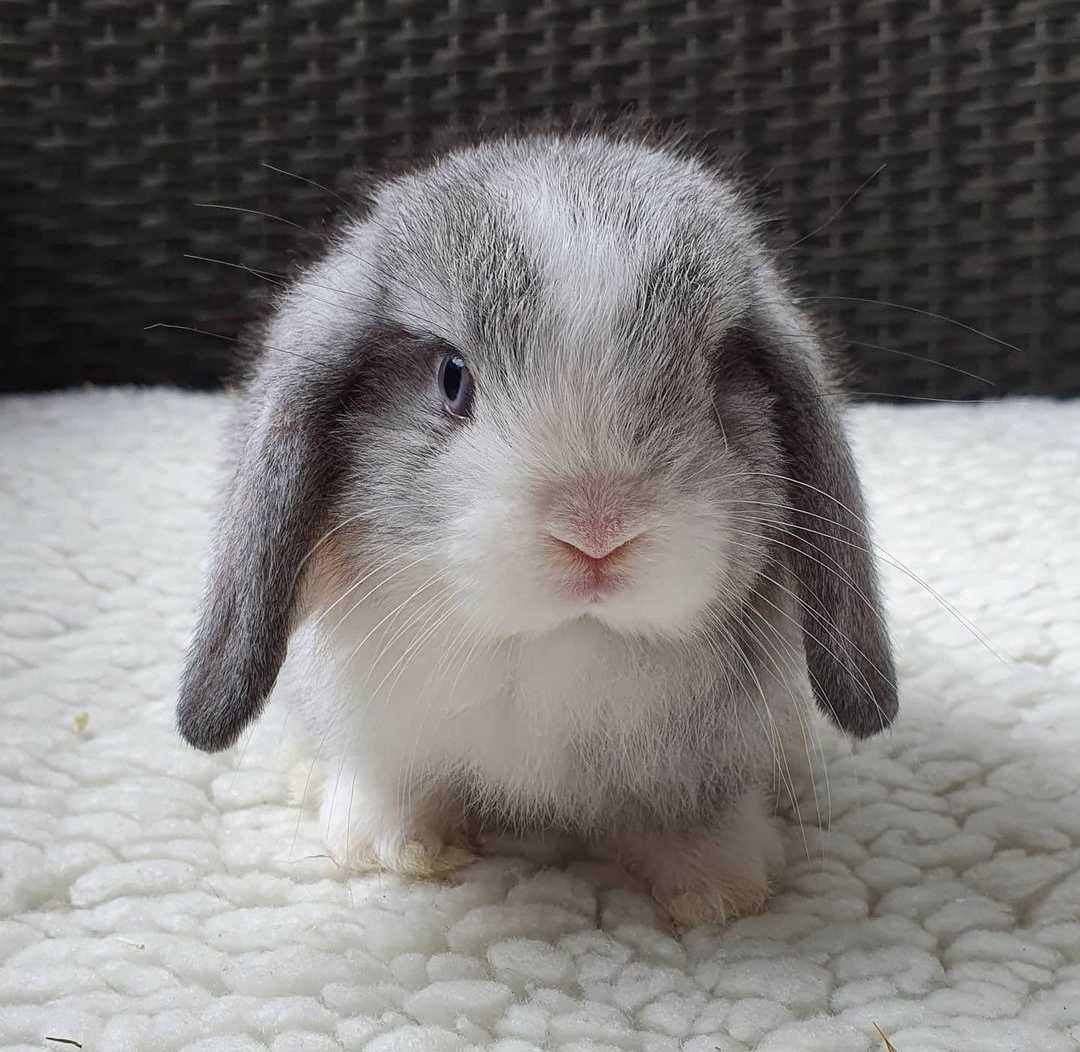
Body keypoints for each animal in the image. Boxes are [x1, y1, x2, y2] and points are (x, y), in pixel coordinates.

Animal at [179, 129, 894, 928]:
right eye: (452, 377)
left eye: (715, 382)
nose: (596, 530)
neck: (554, 648)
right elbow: (395, 775)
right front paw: (391, 846)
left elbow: (691, 809)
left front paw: (718, 887)